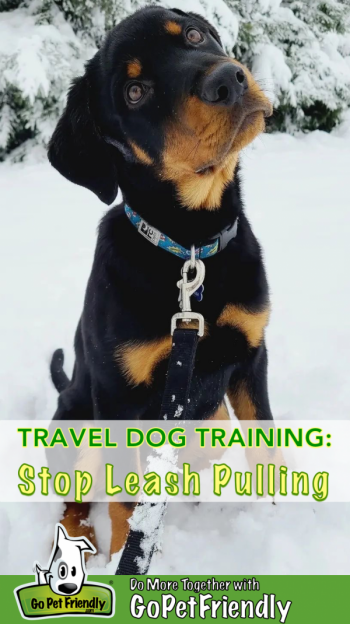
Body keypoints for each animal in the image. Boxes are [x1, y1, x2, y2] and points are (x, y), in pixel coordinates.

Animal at [47, 6, 274, 556]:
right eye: (135, 91)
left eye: (192, 35)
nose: (229, 79)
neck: (190, 247)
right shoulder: (120, 396)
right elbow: (126, 500)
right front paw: (120, 560)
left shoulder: (251, 355)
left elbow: (267, 451)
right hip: (75, 417)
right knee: (74, 498)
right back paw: (79, 543)